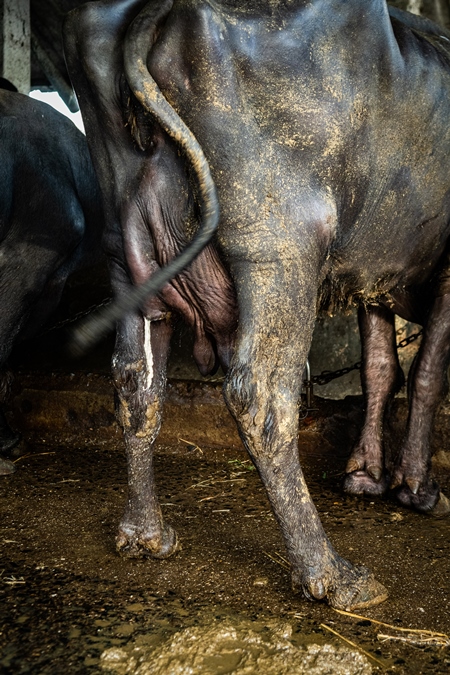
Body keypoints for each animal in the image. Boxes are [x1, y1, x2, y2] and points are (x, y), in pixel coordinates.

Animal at [62, 0, 450, 608]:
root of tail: (164, 7)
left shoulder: (373, 269)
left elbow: (380, 367)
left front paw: (366, 476)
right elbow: (427, 372)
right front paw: (417, 487)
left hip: (127, 256)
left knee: (136, 382)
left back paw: (145, 534)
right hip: (280, 248)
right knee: (262, 398)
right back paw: (331, 575)